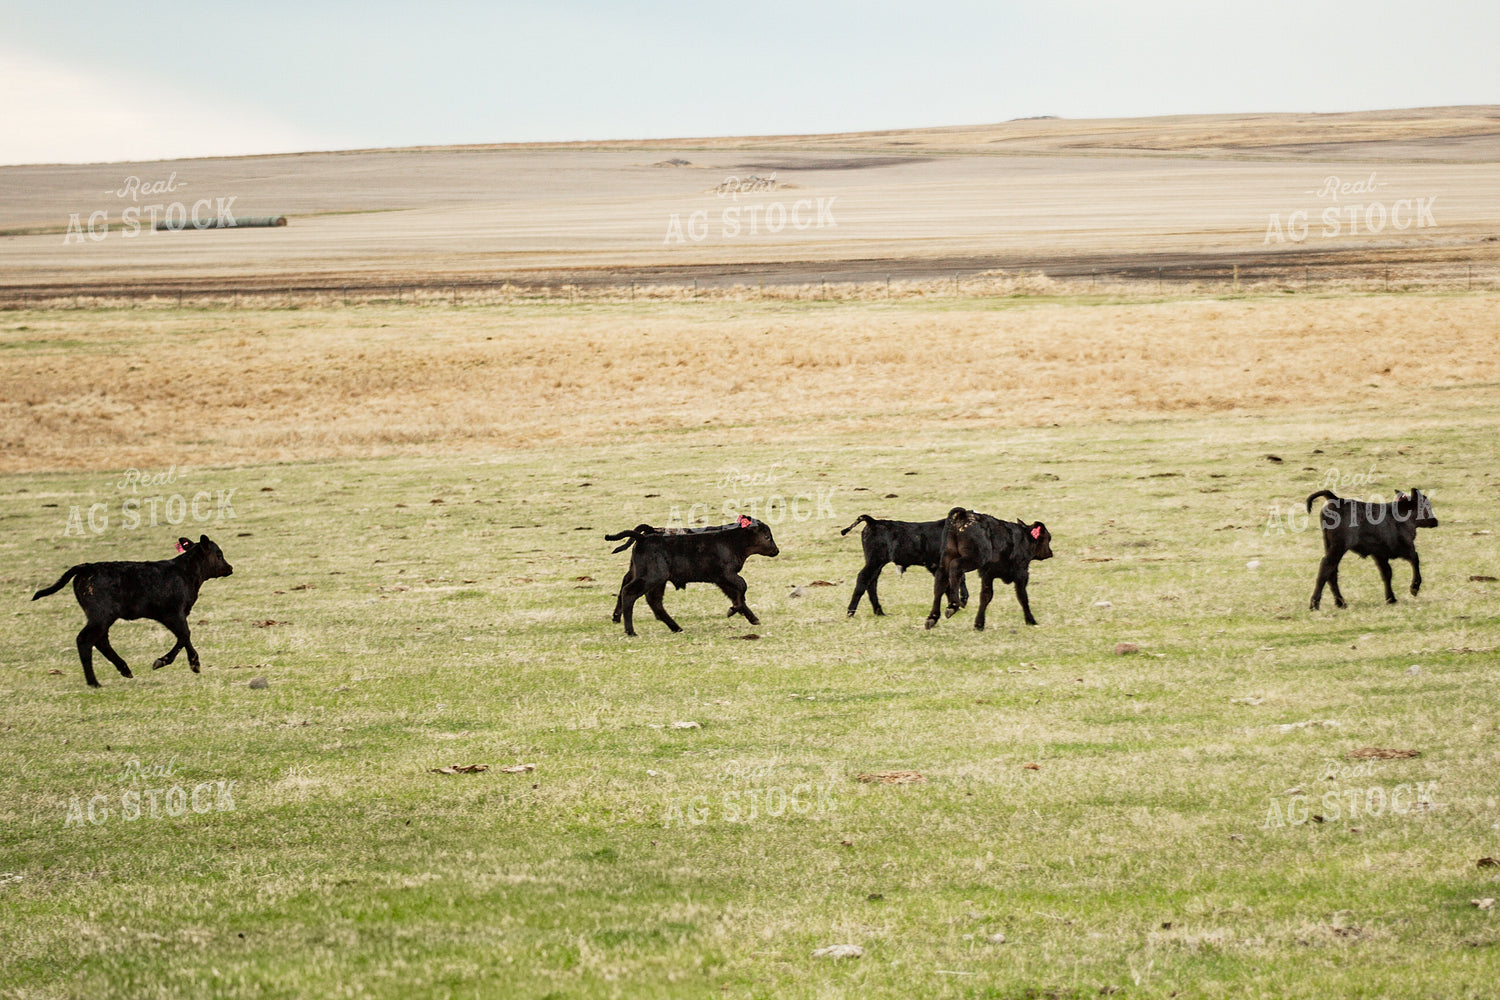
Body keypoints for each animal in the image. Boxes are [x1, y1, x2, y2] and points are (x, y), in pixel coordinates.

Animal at [31, 535, 235, 688]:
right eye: (219, 554)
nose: (230, 568)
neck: (185, 573)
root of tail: (86, 566)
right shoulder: (173, 613)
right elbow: (185, 635)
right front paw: (163, 661)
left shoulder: (174, 615)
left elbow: (184, 637)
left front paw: (195, 664)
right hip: (101, 615)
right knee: (85, 639)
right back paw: (94, 682)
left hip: (101, 617)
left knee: (101, 640)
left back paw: (124, 669)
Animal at [606, 516, 779, 635]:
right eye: (767, 536)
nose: (776, 551)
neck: (731, 541)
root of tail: (644, 536)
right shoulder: (727, 574)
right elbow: (743, 586)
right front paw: (734, 610)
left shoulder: (721, 579)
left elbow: (736, 594)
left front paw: (749, 616)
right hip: (652, 578)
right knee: (629, 592)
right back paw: (630, 631)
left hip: (654, 579)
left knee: (652, 601)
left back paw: (675, 628)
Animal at [1306, 488, 1438, 610]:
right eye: (1427, 505)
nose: (1435, 521)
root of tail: (1337, 499)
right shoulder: (1405, 547)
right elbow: (1415, 559)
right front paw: (1414, 588)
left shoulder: (1380, 554)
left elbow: (1387, 574)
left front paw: (1391, 598)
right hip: (1338, 547)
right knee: (1326, 567)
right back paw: (1315, 603)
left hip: (1330, 546)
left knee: (1332, 572)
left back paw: (1340, 602)